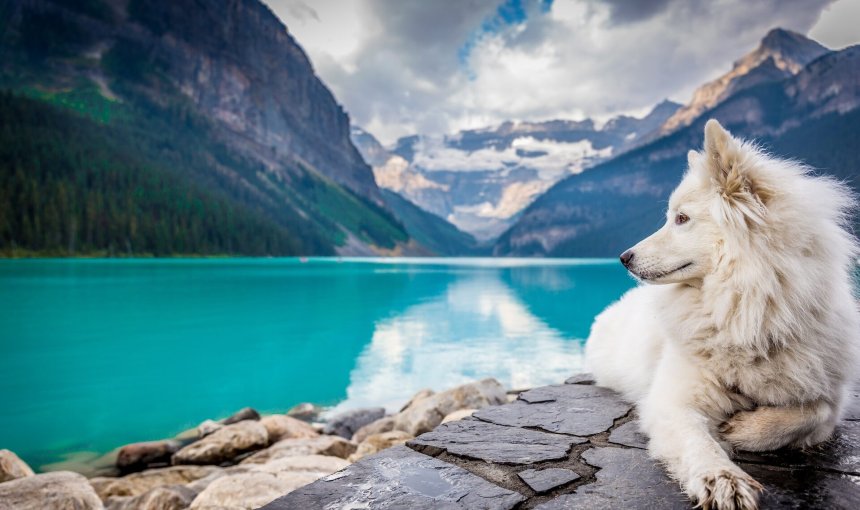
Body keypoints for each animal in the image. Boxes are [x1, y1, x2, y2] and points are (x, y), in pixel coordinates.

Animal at [584, 120, 860, 510]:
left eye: (681, 218)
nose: (624, 258)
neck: (746, 312)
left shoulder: (831, 397)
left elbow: (811, 412)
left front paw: (744, 429)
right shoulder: (673, 401)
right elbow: (698, 443)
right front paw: (721, 478)